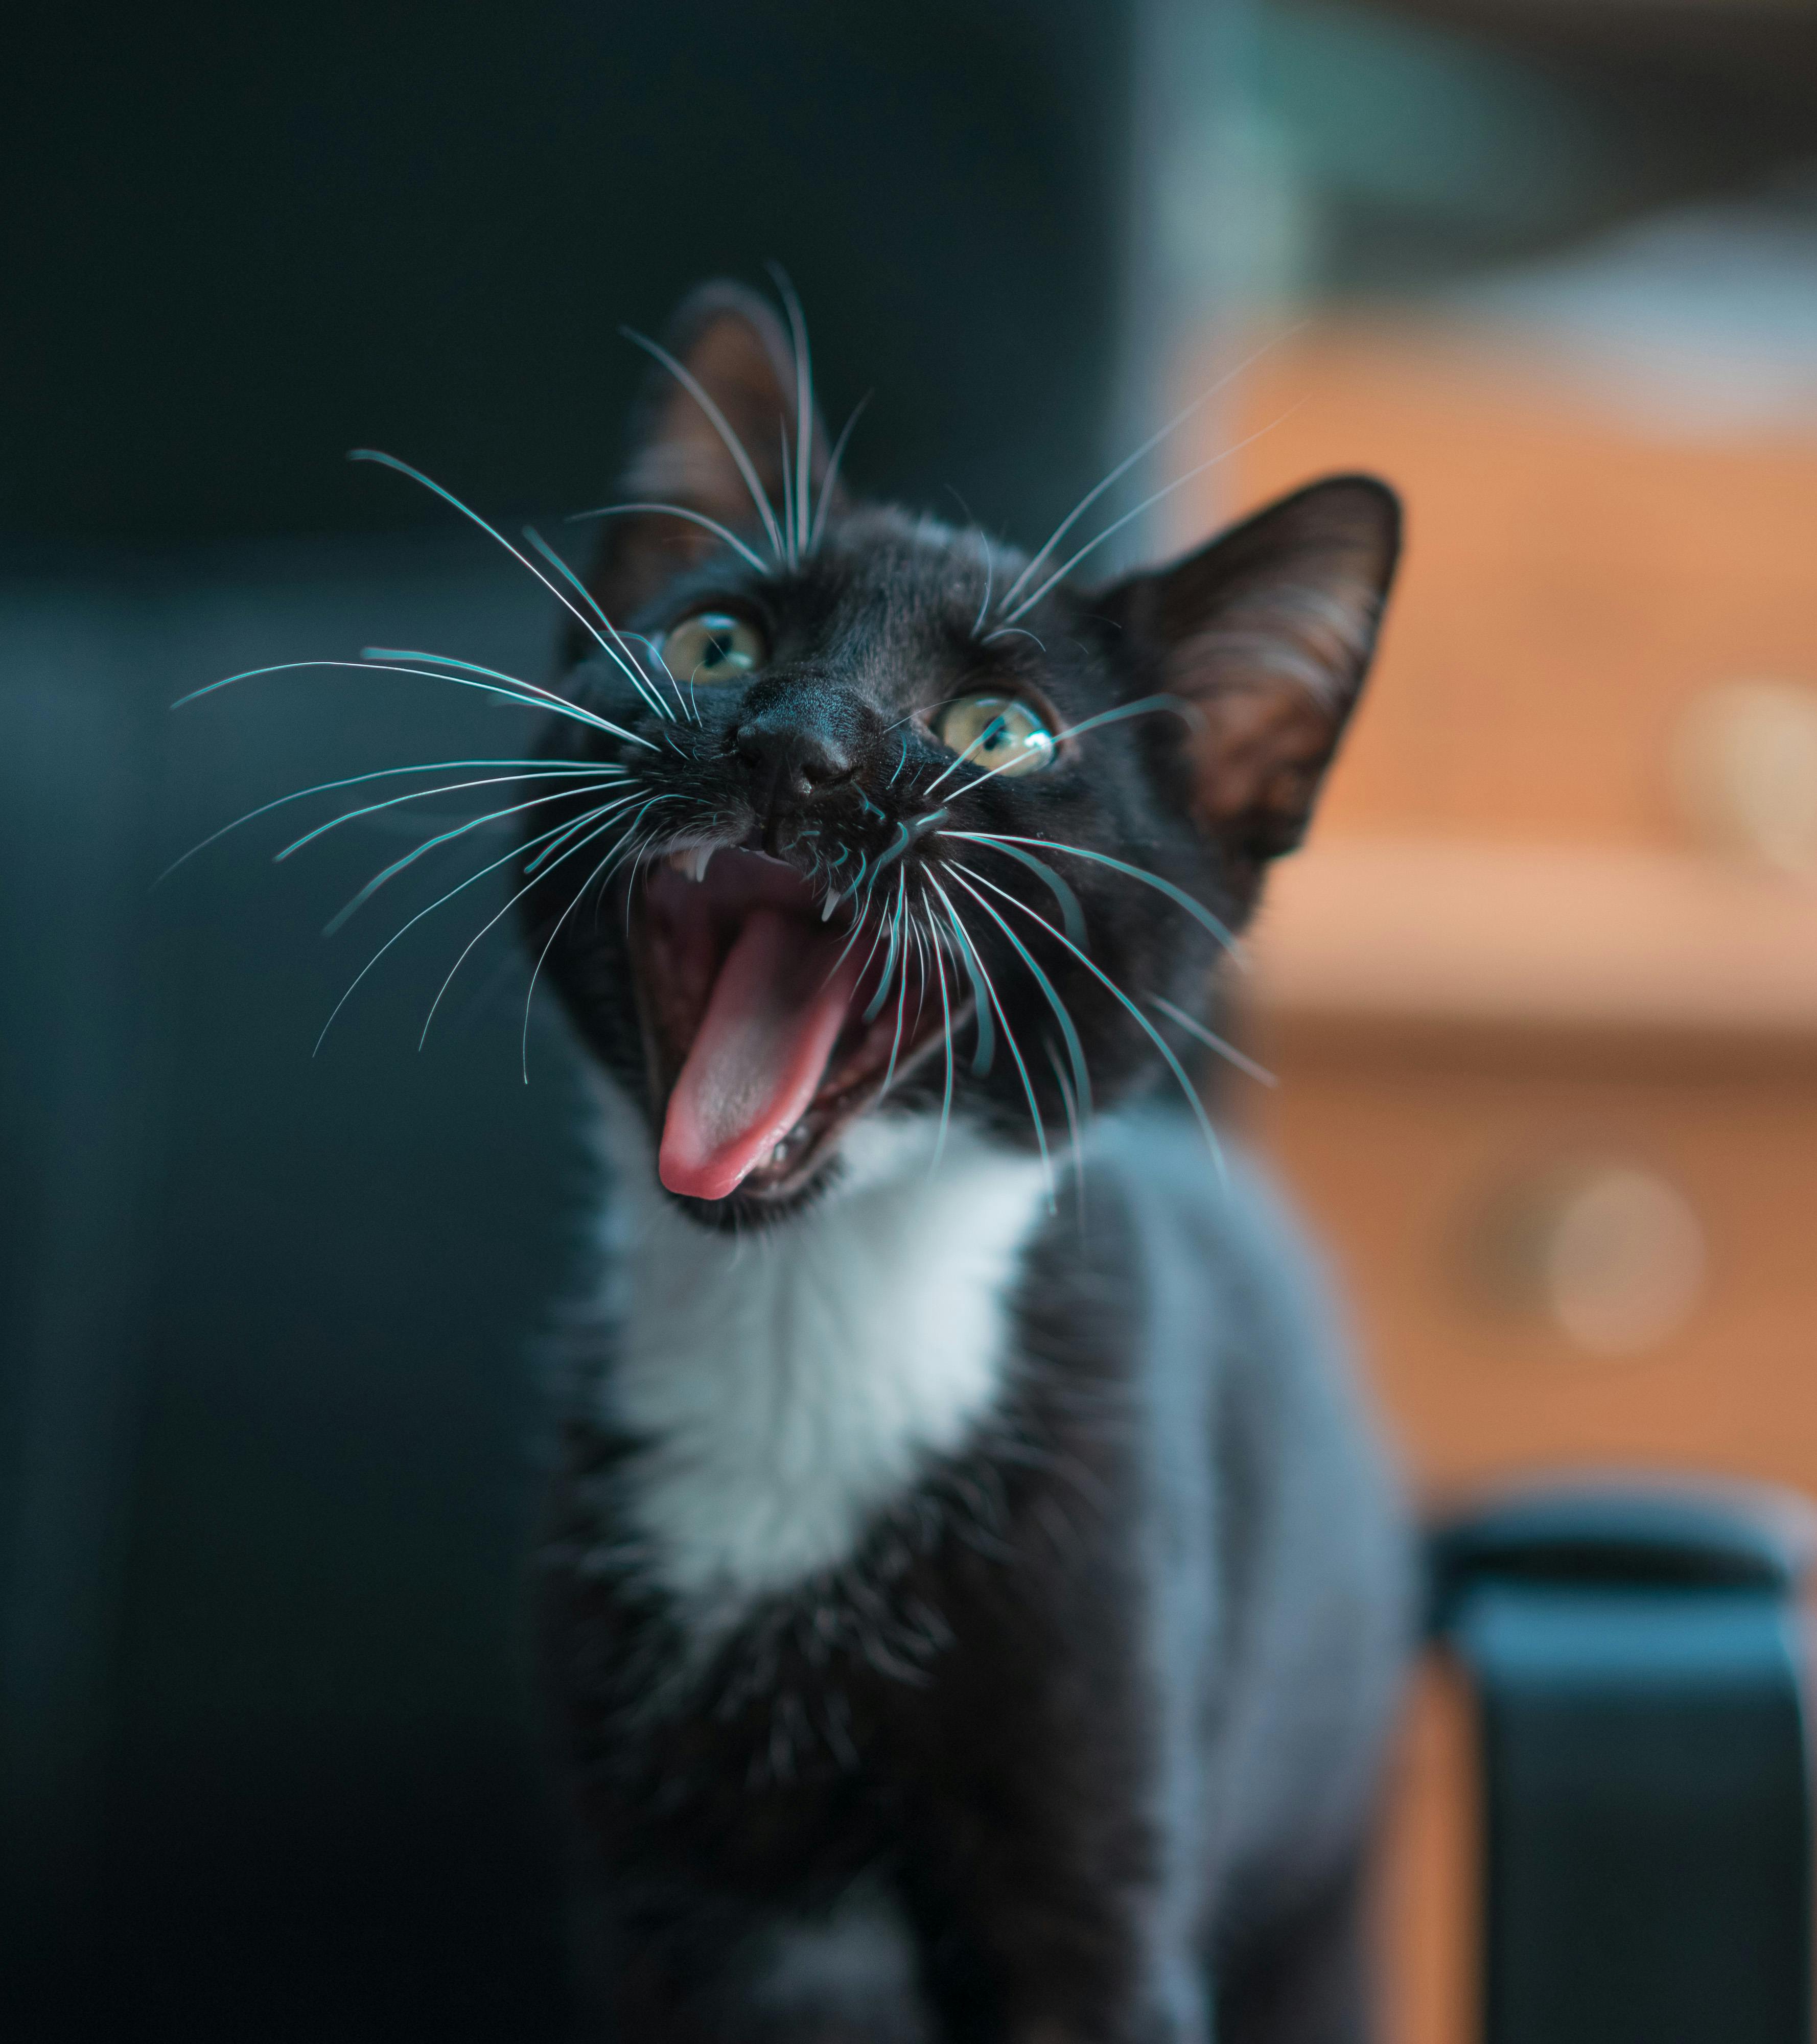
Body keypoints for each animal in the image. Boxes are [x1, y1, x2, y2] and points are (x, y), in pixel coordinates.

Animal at [517, 288, 1414, 2044]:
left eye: (1000, 735)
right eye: (714, 644)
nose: (795, 749)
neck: (807, 1317)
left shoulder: (1093, 1842)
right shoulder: (650, 1897)